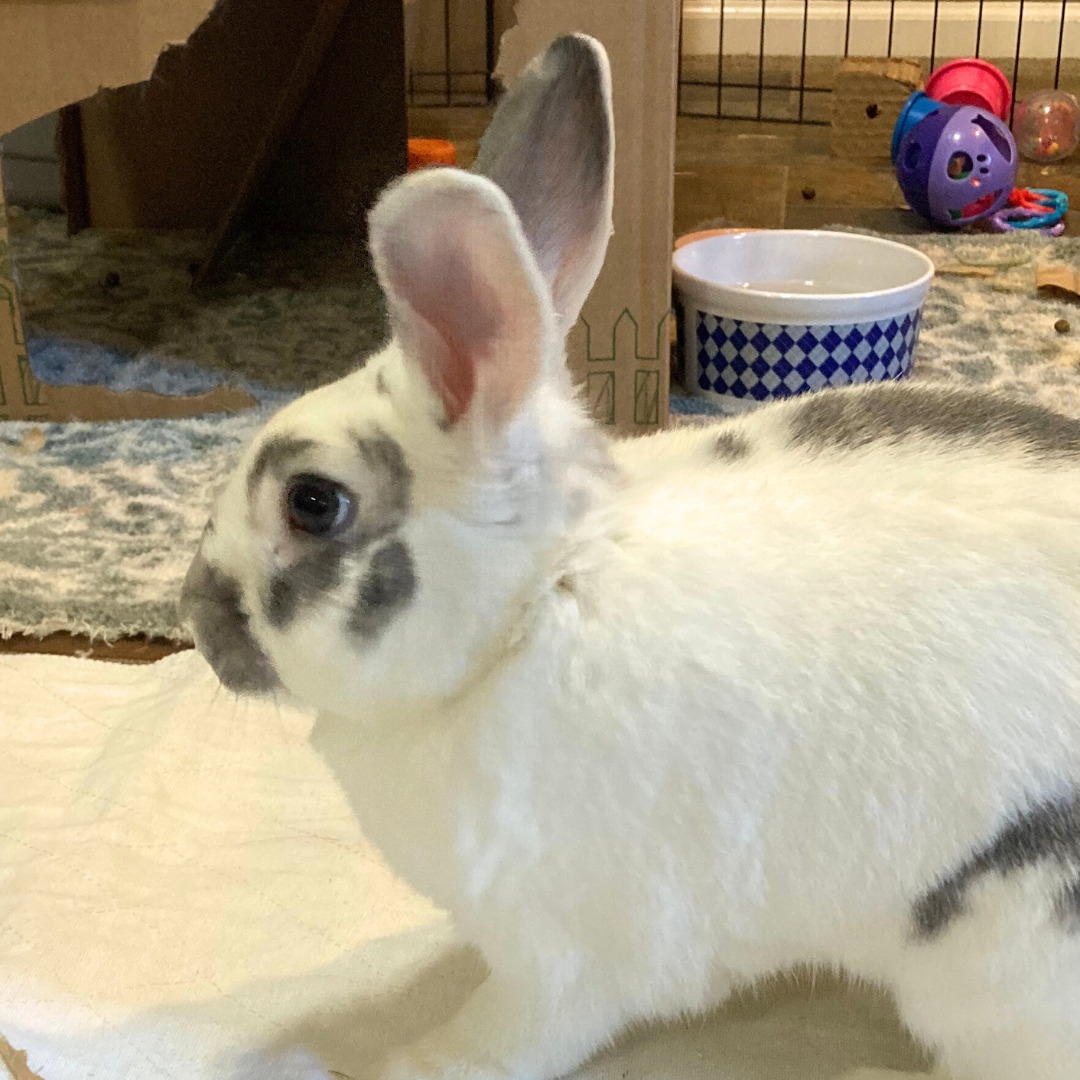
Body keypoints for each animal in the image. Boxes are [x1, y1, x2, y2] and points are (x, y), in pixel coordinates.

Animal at [180, 32, 1080, 1080]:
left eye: (313, 503)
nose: (194, 616)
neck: (541, 600)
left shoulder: (563, 954)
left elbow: (509, 1033)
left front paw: (414, 1061)